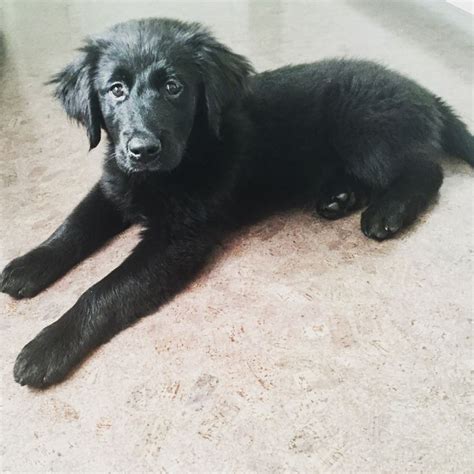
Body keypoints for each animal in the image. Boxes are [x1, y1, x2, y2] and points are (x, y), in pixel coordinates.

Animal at [1, 19, 472, 388]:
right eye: (115, 90)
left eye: (173, 87)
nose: (143, 149)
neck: (183, 159)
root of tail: (421, 92)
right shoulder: (115, 184)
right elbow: (73, 226)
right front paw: (28, 265)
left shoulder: (177, 239)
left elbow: (104, 291)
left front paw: (47, 346)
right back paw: (339, 198)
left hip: (363, 127)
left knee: (425, 169)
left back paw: (388, 212)